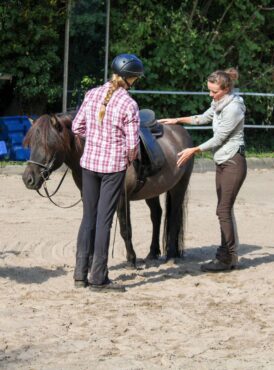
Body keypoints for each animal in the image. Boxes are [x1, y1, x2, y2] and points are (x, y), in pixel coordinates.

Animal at [23, 110, 195, 266]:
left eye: (49, 144)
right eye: (31, 144)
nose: (28, 179)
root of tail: (182, 133)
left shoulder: (121, 198)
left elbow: (125, 229)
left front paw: (131, 260)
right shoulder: (89, 196)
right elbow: (92, 225)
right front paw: (90, 260)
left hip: (179, 186)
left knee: (173, 217)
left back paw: (171, 256)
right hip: (152, 191)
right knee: (157, 215)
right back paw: (153, 253)